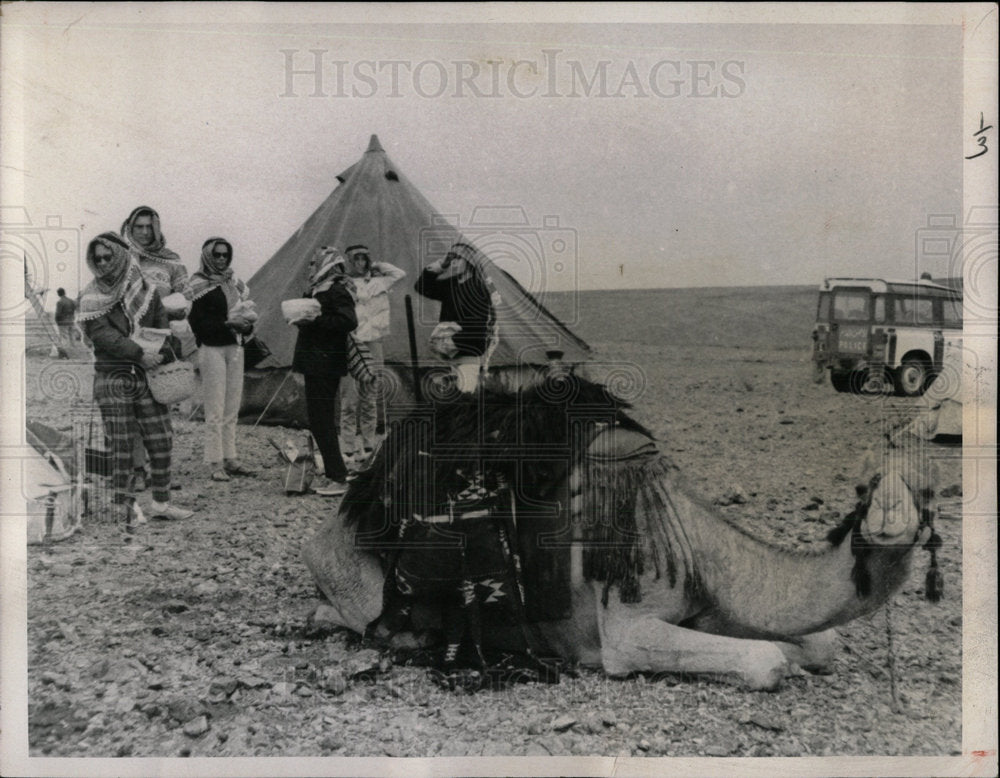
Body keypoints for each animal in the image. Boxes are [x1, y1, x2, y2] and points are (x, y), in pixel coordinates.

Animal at [302, 378, 936, 688]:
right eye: (873, 491)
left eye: (924, 492)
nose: (900, 516)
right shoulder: (627, 624)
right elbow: (766, 661)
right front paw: (782, 655)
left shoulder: (704, 603)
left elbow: (821, 645)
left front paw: (801, 649)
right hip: (347, 569)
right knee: (357, 613)